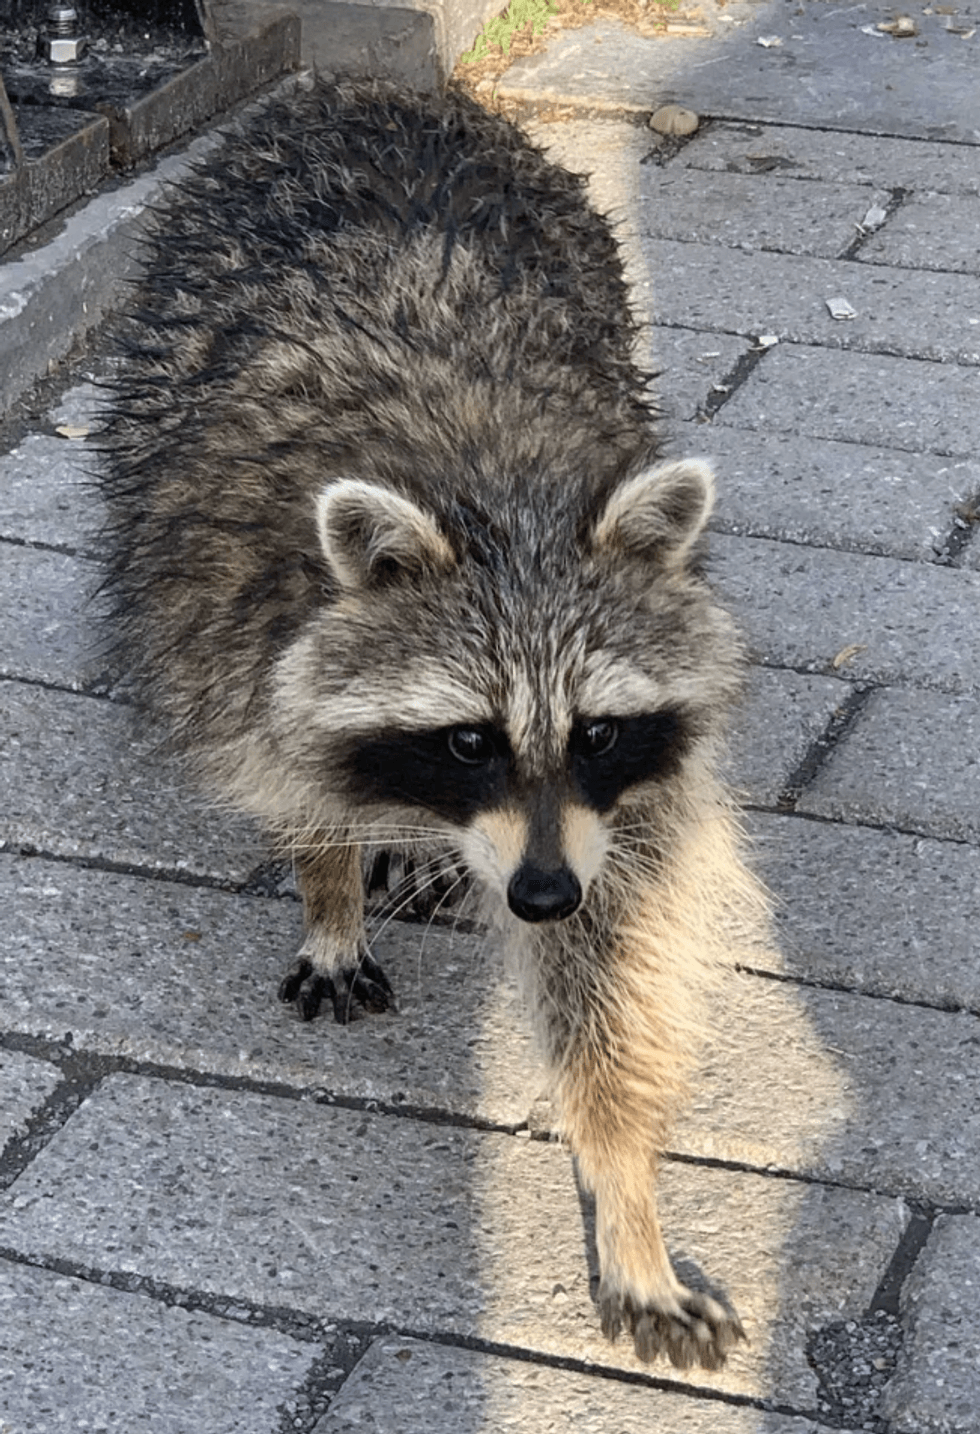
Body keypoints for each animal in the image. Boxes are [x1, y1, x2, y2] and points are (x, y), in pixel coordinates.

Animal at [99, 79, 770, 1371]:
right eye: (468, 740)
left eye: (597, 733)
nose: (538, 894)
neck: (497, 496)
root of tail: (373, 89)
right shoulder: (240, 621)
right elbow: (290, 768)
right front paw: (328, 885)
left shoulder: (614, 817)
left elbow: (607, 967)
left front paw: (624, 1183)